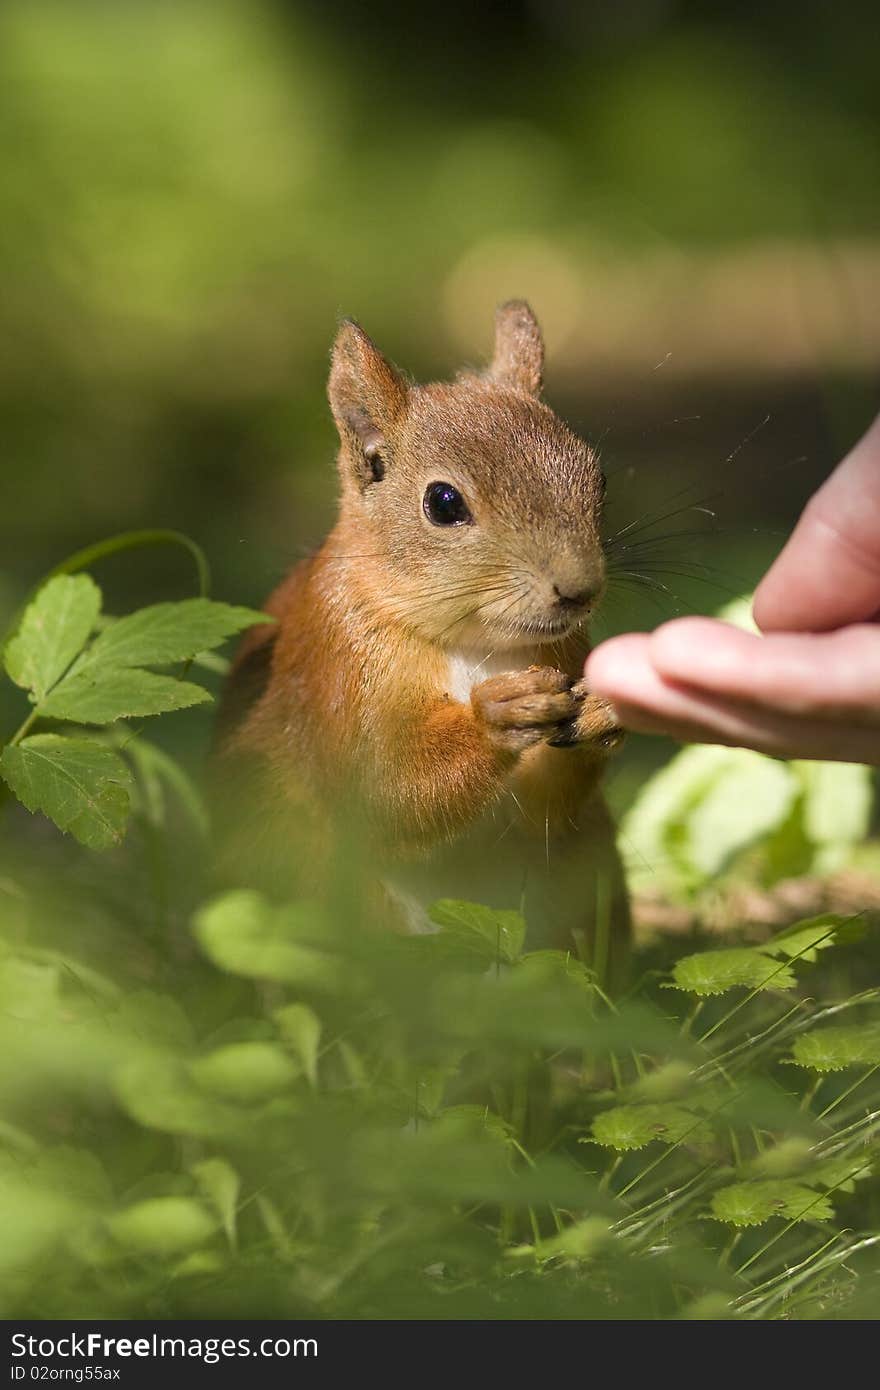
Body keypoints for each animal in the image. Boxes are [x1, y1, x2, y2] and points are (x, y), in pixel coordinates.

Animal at [215, 304, 628, 978]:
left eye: (597, 476)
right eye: (443, 502)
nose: (579, 589)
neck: (477, 647)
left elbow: (545, 812)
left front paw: (604, 707)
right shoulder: (338, 668)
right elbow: (379, 795)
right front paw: (497, 715)